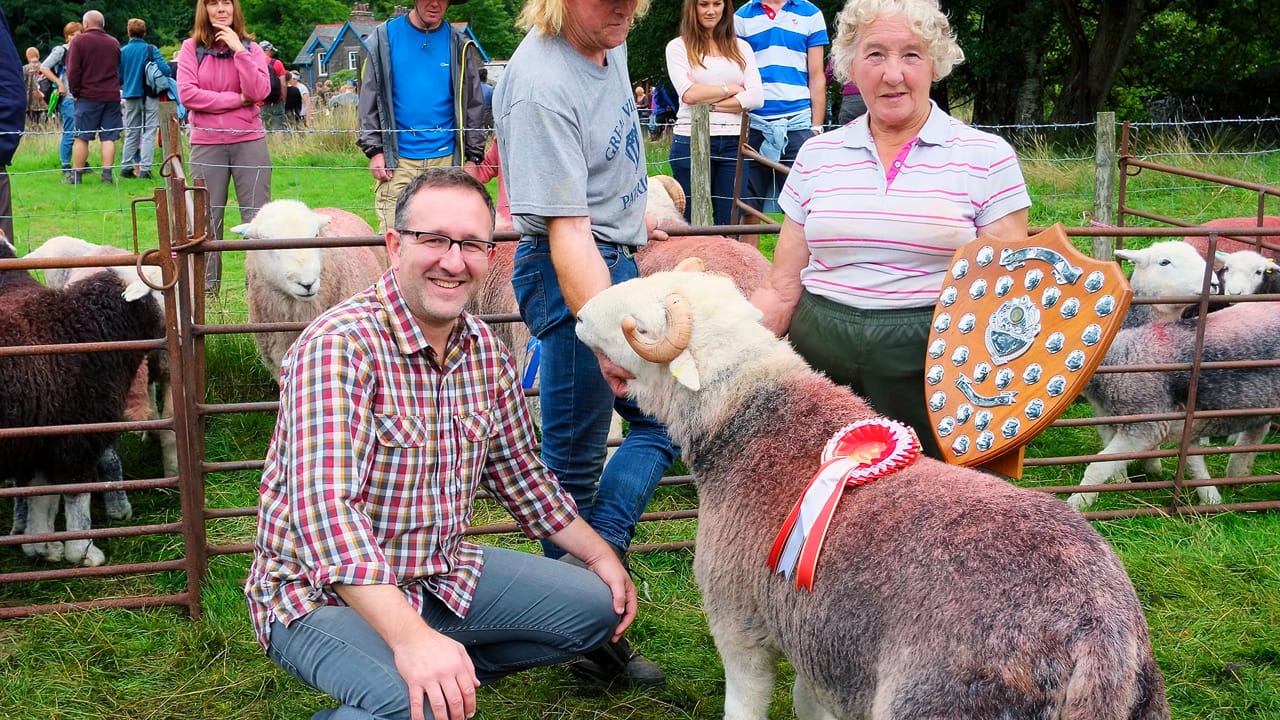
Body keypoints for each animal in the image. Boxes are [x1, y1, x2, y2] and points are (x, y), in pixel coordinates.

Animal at [0, 260, 165, 563]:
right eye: (161, 290)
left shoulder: (41, 443)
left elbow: (41, 496)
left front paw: (43, 545)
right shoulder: (78, 437)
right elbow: (77, 494)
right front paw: (83, 551)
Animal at [578, 263, 1172, 717]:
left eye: (641, 324)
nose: (580, 314)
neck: (748, 422)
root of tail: (1097, 636)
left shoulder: (740, 622)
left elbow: (744, 705)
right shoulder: (819, 640)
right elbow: (810, 705)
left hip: (936, 700)